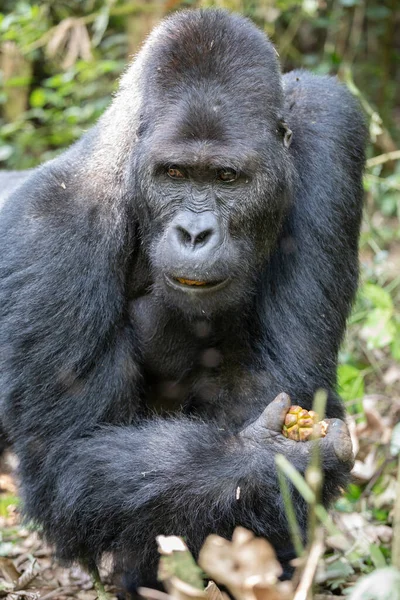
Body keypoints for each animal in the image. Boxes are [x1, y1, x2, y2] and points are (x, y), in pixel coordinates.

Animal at [0, 7, 366, 592]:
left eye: (226, 177)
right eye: (174, 173)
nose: (195, 233)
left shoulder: (330, 129)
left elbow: (286, 373)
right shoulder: (49, 229)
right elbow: (69, 458)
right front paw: (270, 455)